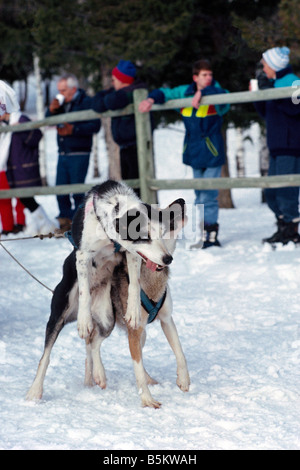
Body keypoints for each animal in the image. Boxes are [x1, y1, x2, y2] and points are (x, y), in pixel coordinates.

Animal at [26, 181, 190, 408]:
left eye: (162, 230)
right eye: (145, 236)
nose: (168, 259)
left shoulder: (165, 319)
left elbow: (179, 351)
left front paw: (183, 380)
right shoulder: (84, 254)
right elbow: (136, 365)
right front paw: (147, 399)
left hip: (112, 322)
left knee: (92, 345)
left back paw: (95, 377)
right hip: (67, 315)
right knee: (51, 353)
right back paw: (37, 390)